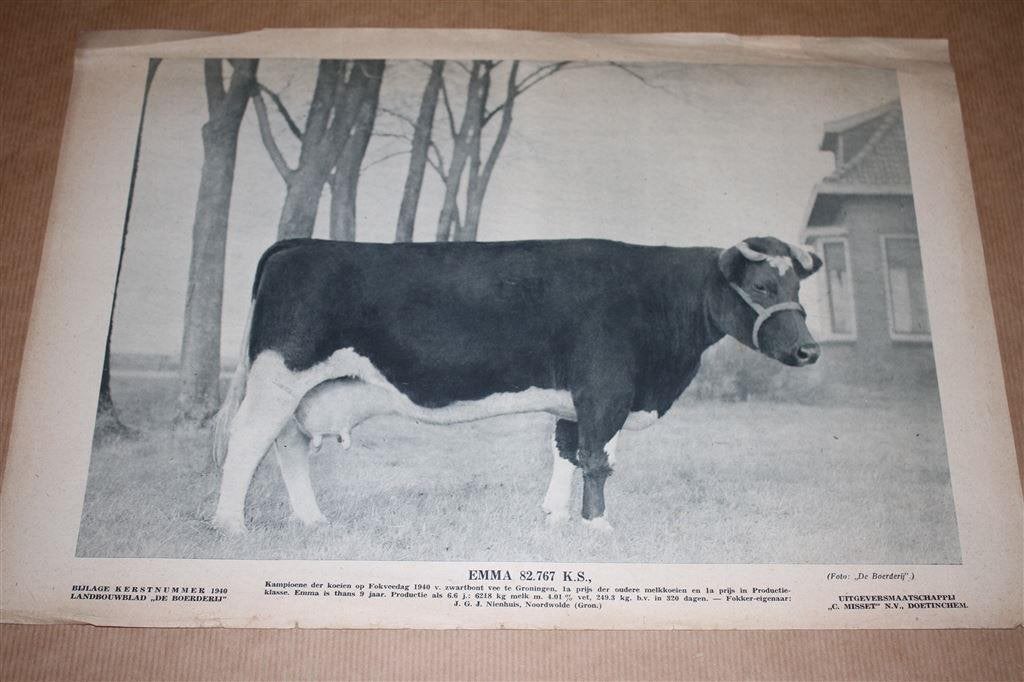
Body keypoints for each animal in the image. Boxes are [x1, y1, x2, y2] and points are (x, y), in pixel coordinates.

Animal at [211, 236, 822, 534]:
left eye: (797, 286)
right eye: (763, 286)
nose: (809, 350)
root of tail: (301, 242)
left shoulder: (581, 399)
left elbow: (569, 452)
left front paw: (554, 518)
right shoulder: (605, 389)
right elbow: (597, 460)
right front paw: (598, 526)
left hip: (306, 389)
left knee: (287, 444)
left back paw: (311, 520)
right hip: (279, 376)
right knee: (247, 441)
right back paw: (230, 525)